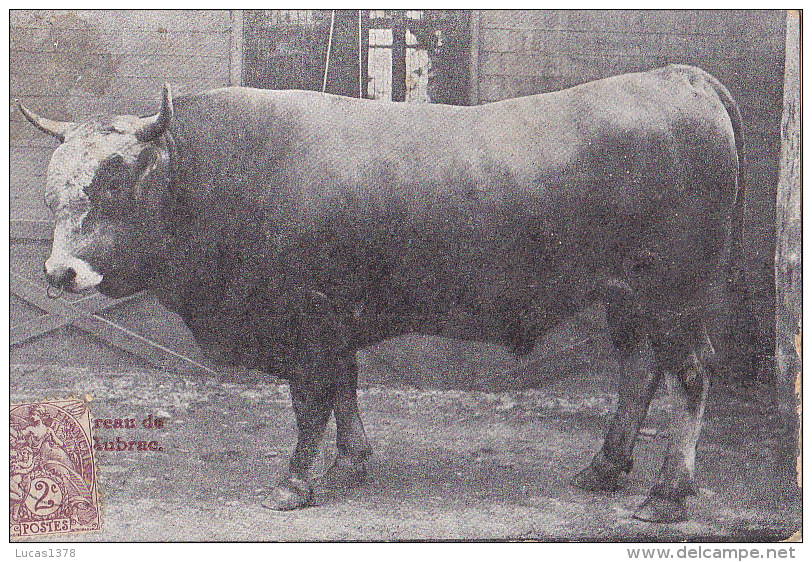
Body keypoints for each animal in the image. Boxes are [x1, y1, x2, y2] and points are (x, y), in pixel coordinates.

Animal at [20, 64, 744, 520]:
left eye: (115, 182)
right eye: (55, 187)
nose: (60, 272)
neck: (225, 167)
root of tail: (680, 79)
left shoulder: (307, 315)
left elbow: (312, 398)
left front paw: (294, 484)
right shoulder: (335, 317)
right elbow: (345, 386)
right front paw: (351, 465)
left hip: (675, 292)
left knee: (690, 373)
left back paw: (668, 495)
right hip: (629, 296)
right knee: (638, 369)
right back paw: (605, 468)